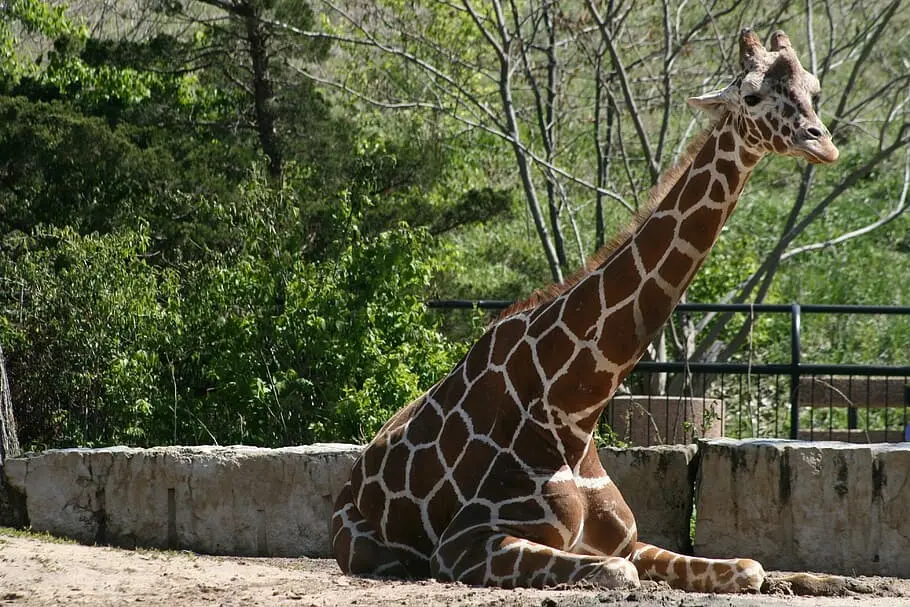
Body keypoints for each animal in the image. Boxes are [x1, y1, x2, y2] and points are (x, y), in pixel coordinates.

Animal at [332, 28, 838, 593]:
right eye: (750, 96)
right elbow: (620, 574)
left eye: (814, 91)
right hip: (371, 552)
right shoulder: (464, 544)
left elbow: (749, 567)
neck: (574, 409)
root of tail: (351, 479)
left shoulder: (624, 539)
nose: (822, 143)